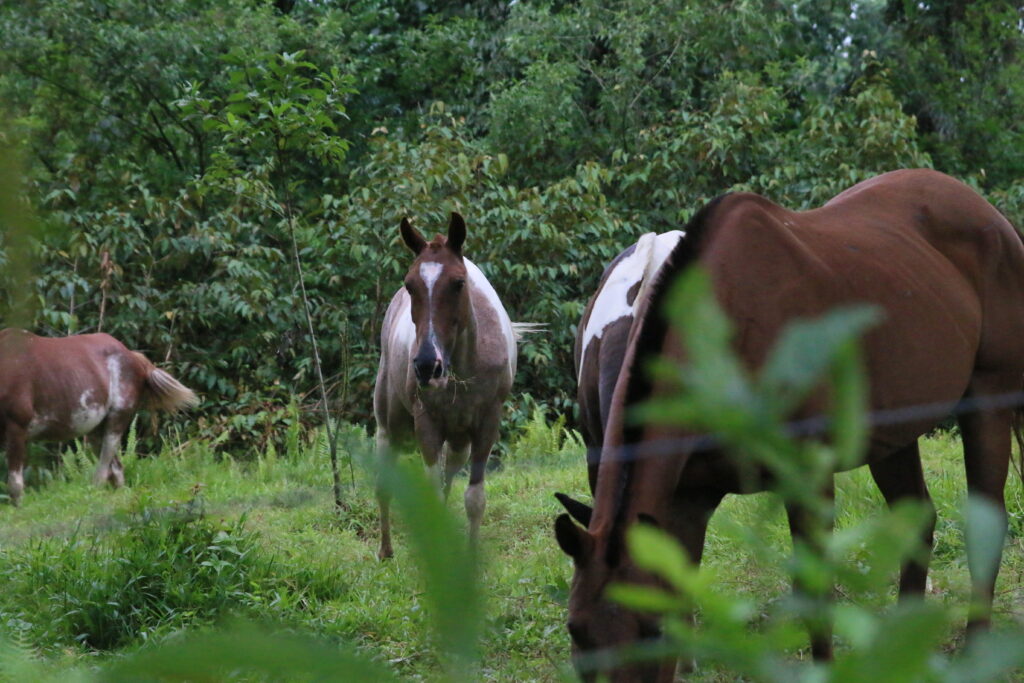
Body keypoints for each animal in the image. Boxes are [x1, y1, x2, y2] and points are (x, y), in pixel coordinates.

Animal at [0, 329, 199, 505]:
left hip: (117, 418)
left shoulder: (17, 426)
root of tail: (134, 356)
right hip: (96, 429)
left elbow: (15, 485)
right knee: (116, 468)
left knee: (104, 470)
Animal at [374, 212, 521, 559]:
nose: (428, 364)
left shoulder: (487, 424)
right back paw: (385, 550)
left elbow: (474, 499)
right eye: (410, 284)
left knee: (448, 478)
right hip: (391, 423)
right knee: (386, 476)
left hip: (458, 441)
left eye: (458, 283)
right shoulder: (426, 423)